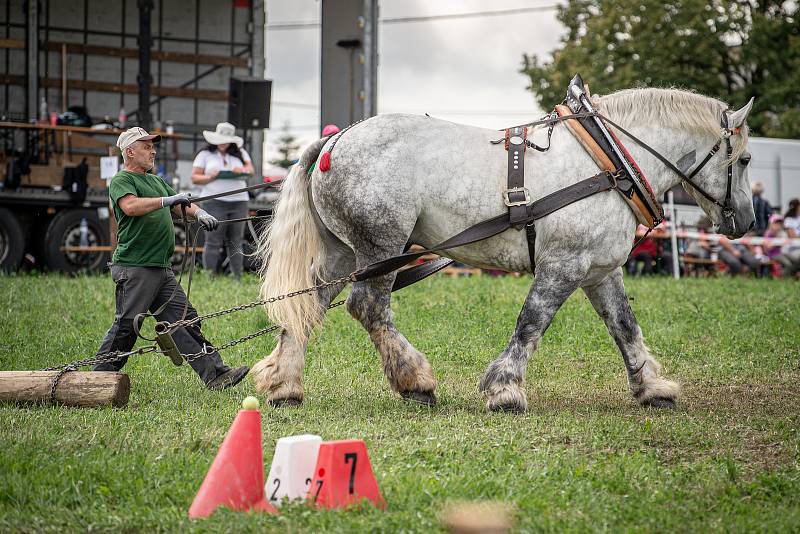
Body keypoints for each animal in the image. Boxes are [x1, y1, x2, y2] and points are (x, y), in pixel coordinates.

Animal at [252, 88, 756, 414]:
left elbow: (624, 327)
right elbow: (532, 322)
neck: (608, 160)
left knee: (308, 306)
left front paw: (652, 387)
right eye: (746, 159)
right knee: (369, 308)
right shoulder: (563, 264)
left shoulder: (599, 271)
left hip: (343, 252)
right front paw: (505, 389)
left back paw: (284, 384)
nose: (749, 222)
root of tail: (334, 140)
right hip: (381, 246)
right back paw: (415, 381)